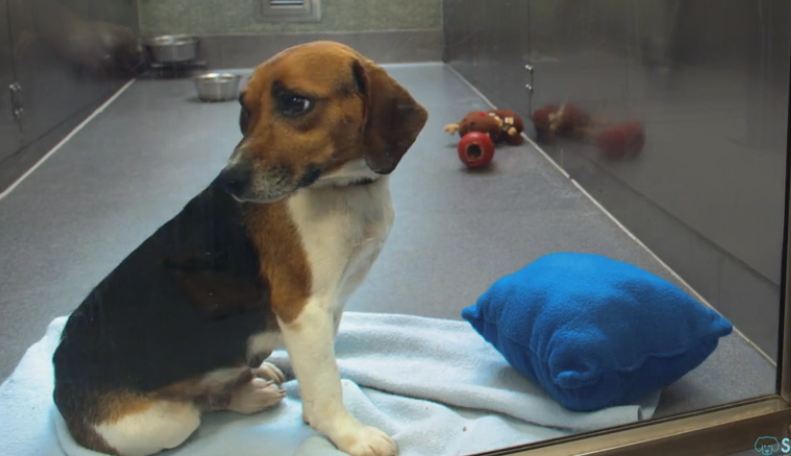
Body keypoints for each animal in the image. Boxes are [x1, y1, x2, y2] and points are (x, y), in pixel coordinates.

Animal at [51, 41, 426, 454]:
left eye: (295, 103)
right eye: (245, 109)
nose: (229, 179)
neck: (342, 189)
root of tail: (59, 381)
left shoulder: (332, 306)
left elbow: (319, 374)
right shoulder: (304, 310)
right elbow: (326, 384)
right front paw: (348, 433)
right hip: (162, 425)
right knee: (199, 405)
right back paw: (245, 391)